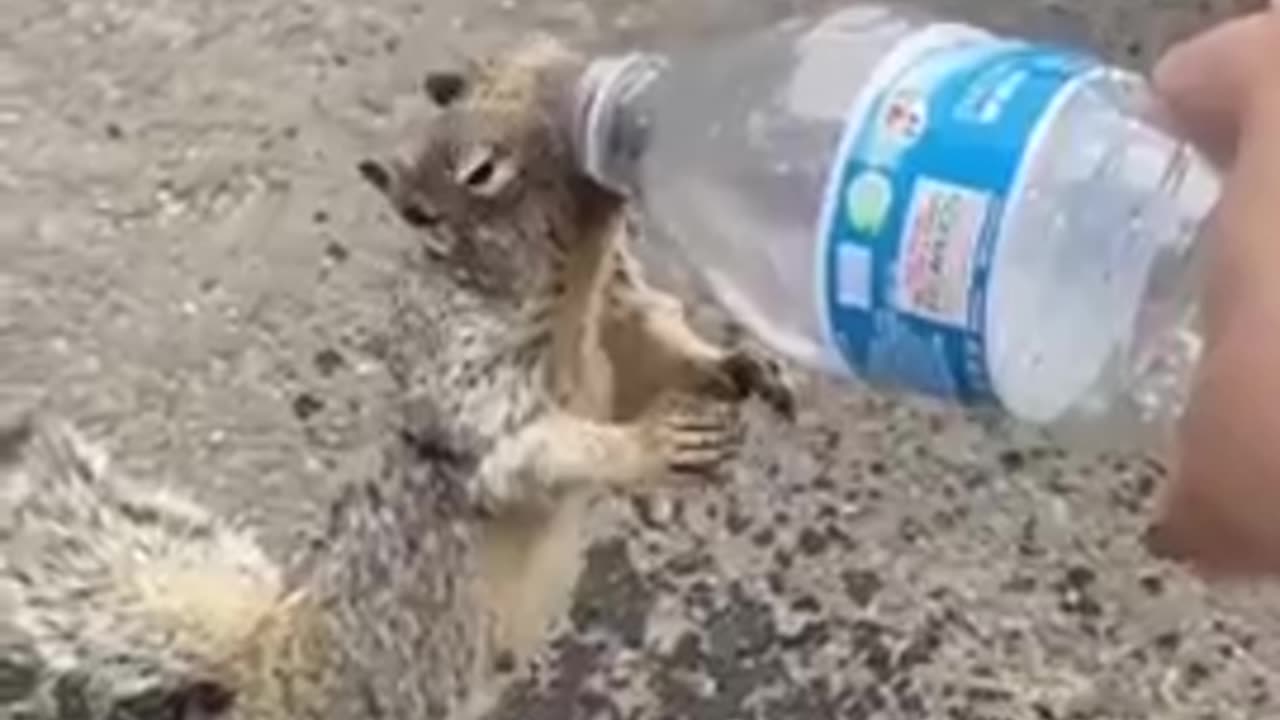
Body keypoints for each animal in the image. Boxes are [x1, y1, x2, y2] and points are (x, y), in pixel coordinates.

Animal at [0, 32, 788, 717]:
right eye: (480, 172)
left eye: (543, 50)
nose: (618, 103)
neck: (578, 299)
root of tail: (267, 655)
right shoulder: (475, 386)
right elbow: (537, 451)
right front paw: (656, 445)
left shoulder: (622, 322)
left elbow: (661, 346)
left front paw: (741, 366)